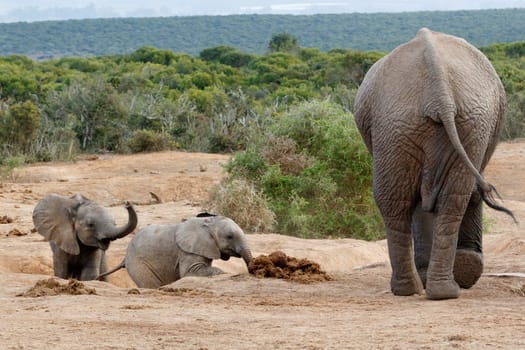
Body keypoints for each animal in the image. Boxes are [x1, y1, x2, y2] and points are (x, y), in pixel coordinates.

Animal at [99, 213, 255, 288]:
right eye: (229, 236)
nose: (252, 270)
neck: (208, 223)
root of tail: (125, 257)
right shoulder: (187, 251)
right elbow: (190, 272)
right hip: (138, 264)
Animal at [350, 28, 512, 300]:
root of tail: (440, 95)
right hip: (417, 125)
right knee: (442, 197)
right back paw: (436, 289)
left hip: (407, 125)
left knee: (402, 198)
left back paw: (419, 290)